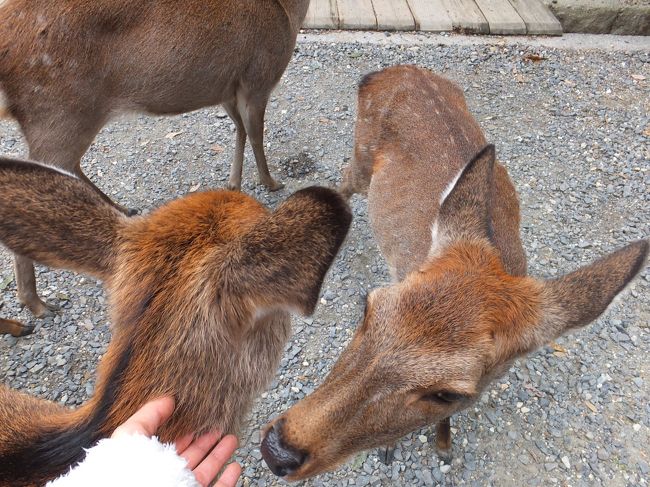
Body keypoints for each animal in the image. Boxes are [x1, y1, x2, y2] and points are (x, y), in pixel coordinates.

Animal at [0, 0, 310, 327]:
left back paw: (120, 210)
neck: (286, 14)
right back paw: (36, 304)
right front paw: (271, 183)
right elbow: (256, 134)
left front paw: (234, 182)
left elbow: (238, 130)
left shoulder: (227, 87)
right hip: (56, 114)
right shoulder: (259, 76)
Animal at [259, 65, 649, 480]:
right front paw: (393, 448)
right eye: (369, 307)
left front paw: (444, 445)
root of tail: (382, 73)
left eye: (447, 393)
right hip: (361, 155)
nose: (277, 451)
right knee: (344, 177)